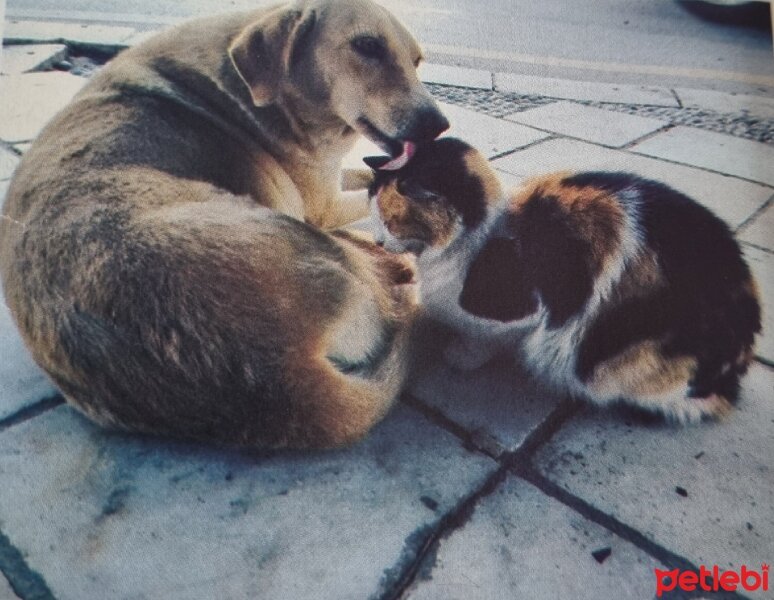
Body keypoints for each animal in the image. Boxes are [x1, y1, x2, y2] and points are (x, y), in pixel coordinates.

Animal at [0, 0, 448, 448]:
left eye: (417, 61)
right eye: (367, 46)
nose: (439, 126)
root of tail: (282, 377)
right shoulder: (324, 203)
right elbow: (370, 192)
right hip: (296, 232)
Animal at [366, 138, 760, 424]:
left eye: (391, 221)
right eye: (374, 214)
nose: (378, 242)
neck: (481, 236)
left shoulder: (536, 313)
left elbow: (489, 336)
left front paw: (464, 355)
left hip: (632, 359)